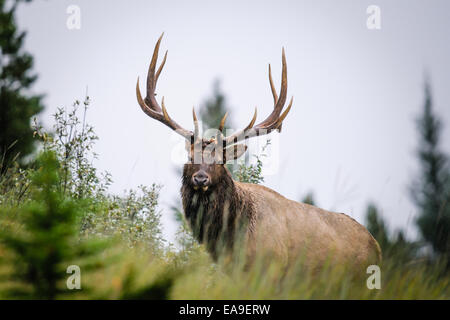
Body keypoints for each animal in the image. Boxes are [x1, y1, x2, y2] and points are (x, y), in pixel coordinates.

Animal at [135, 34, 382, 270]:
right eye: (190, 156)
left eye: (221, 160)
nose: (200, 178)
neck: (230, 238)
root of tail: (377, 248)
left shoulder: (271, 265)